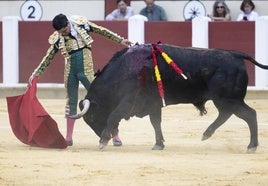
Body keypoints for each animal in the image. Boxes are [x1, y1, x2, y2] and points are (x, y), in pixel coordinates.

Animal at [74, 43, 268, 153]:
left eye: (91, 117)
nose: (103, 136)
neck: (125, 68)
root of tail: (235, 54)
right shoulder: (153, 104)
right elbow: (156, 123)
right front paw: (159, 144)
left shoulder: (128, 101)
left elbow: (113, 115)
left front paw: (102, 142)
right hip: (225, 100)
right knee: (226, 114)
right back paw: (207, 134)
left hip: (229, 99)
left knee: (250, 115)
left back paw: (251, 146)